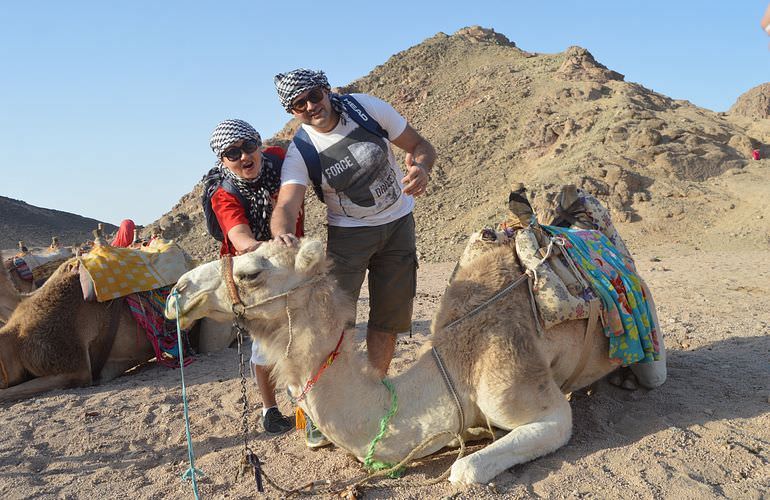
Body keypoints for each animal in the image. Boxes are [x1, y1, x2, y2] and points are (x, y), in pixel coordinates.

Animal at [165, 238, 664, 484]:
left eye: (251, 273)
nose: (178, 291)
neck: (452, 372)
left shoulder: (528, 398)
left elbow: (463, 471)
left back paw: (628, 380)